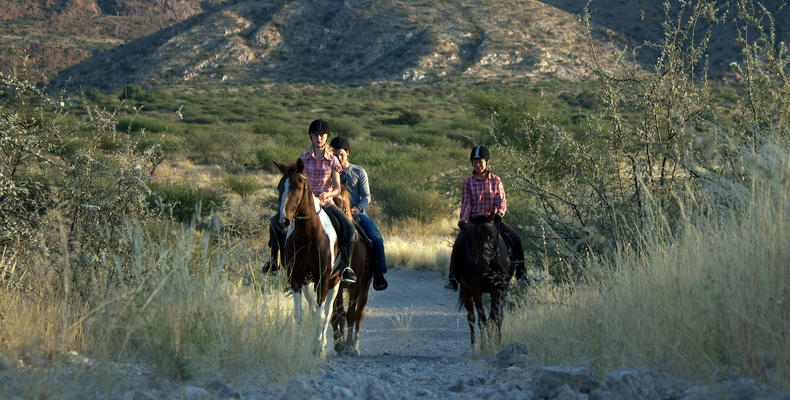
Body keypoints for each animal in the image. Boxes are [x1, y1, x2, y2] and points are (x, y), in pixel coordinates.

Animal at [274, 158, 342, 358]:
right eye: (279, 187)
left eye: (298, 186)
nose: (283, 222)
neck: (308, 235)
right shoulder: (295, 279)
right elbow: (299, 315)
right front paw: (299, 347)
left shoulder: (323, 279)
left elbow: (321, 314)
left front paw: (318, 347)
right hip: (306, 282)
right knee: (312, 308)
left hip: (335, 281)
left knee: (327, 312)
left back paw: (321, 342)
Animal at [330, 184, 376, 356]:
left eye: (343, 206)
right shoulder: (337, 286)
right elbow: (337, 315)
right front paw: (339, 344)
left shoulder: (355, 287)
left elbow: (350, 314)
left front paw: (348, 345)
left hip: (365, 287)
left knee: (359, 314)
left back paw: (355, 345)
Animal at [454, 212, 516, 346]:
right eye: (473, 237)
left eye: (491, 236)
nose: (482, 264)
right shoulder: (476, 290)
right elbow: (482, 319)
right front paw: (484, 346)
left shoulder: (500, 290)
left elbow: (497, 317)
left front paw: (497, 342)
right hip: (466, 290)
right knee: (471, 318)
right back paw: (474, 346)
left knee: (490, 317)